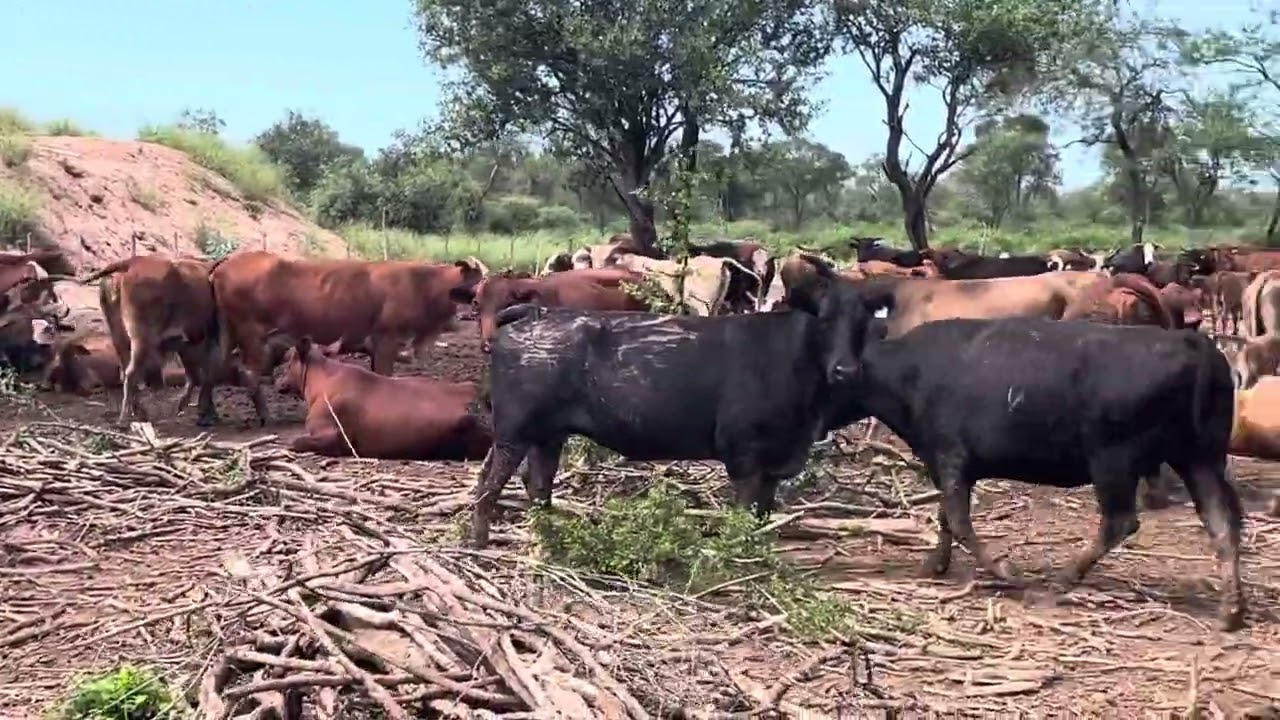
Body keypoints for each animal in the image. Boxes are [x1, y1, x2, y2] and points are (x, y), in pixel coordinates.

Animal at [830, 316, 1245, 630]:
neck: (911, 370)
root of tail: (1193, 342)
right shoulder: (947, 465)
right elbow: (946, 516)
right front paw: (935, 564)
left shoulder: (951, 458)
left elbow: (959, 521)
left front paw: (1006, 571)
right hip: (1200, 459)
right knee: (1222, 519)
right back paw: (1232, 609)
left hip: (1114, 461)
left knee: (1120, 522)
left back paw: (1055, 584)